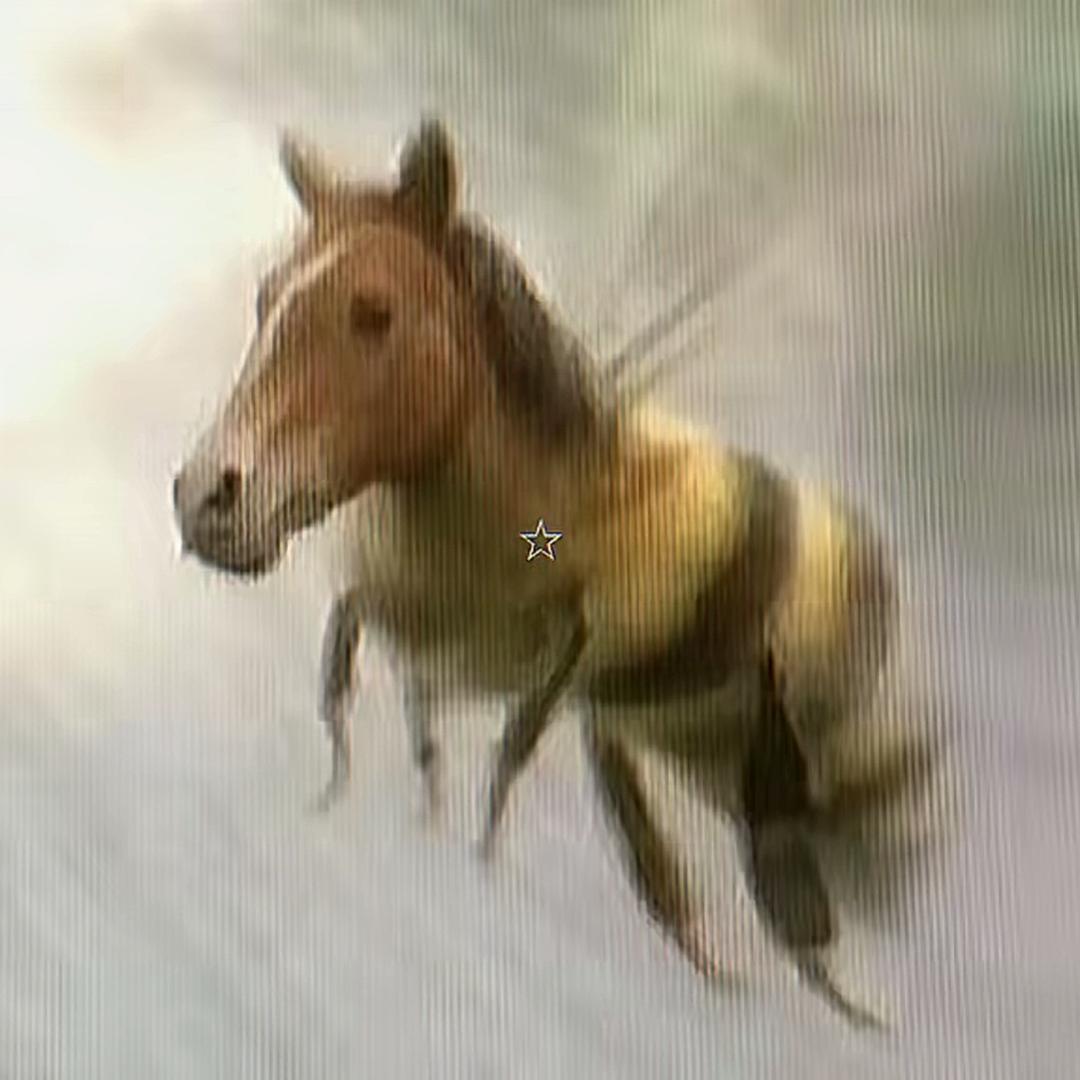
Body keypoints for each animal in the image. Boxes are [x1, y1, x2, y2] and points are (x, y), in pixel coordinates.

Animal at [172, 118, 934, 1028]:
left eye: (374, 312)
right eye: (266, 299)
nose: (206, 498)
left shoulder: (546, 656)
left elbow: (510, 744)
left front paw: (475, 845)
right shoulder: (418, 634)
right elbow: (366, 675)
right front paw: (385, 794)